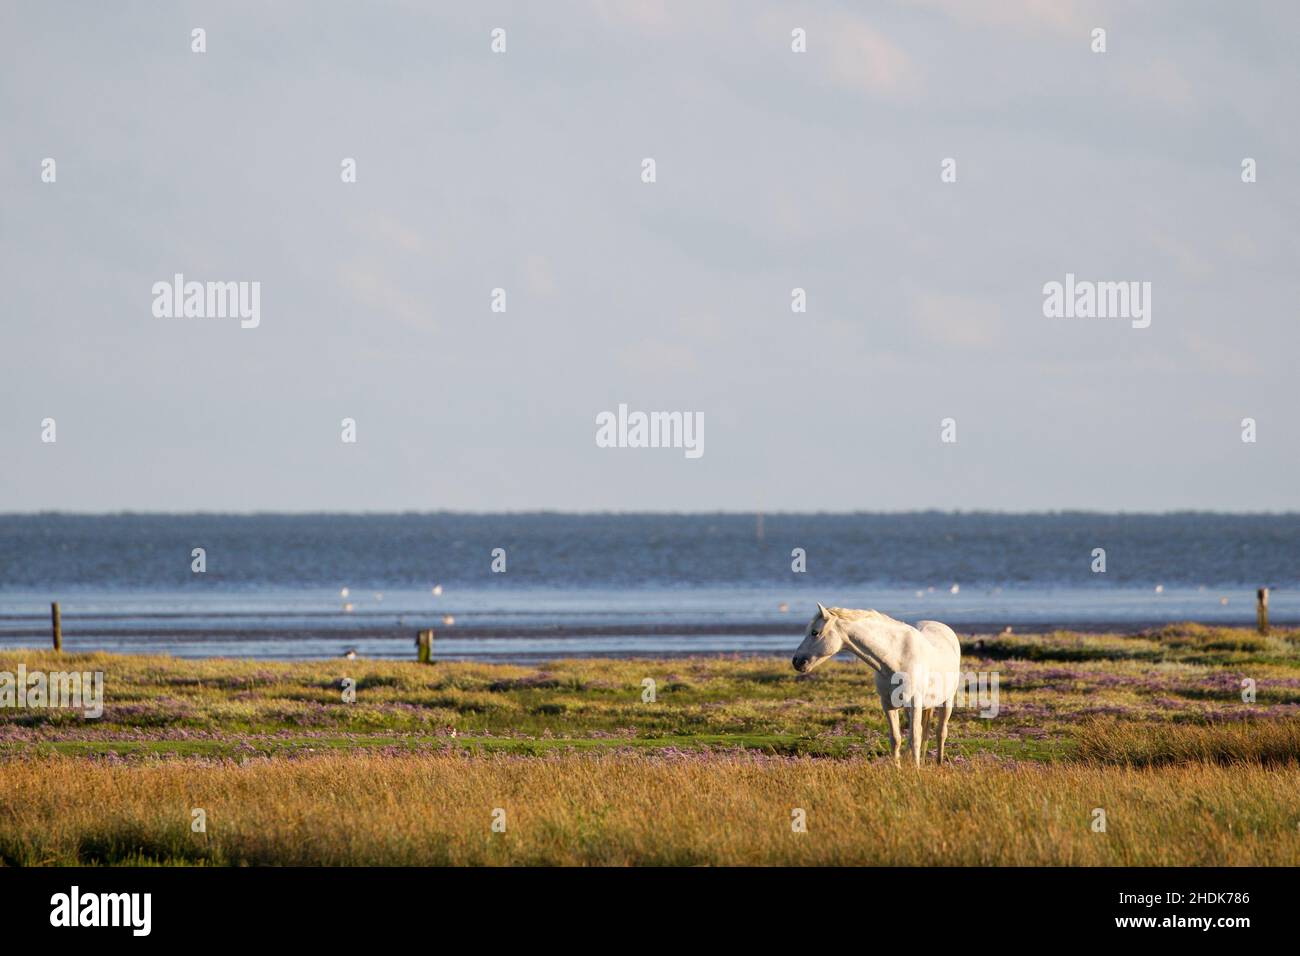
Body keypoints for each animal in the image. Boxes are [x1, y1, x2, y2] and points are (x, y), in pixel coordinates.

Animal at [792, 603, 961, 767]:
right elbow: (896, 739)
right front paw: (898, 769)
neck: (899, 659)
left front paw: (916, 770)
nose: (797, 661)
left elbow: (915, 738)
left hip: (946, 701)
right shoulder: (888, 704)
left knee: (940, 732)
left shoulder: (915, 703)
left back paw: (939, 763)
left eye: (815, 632)